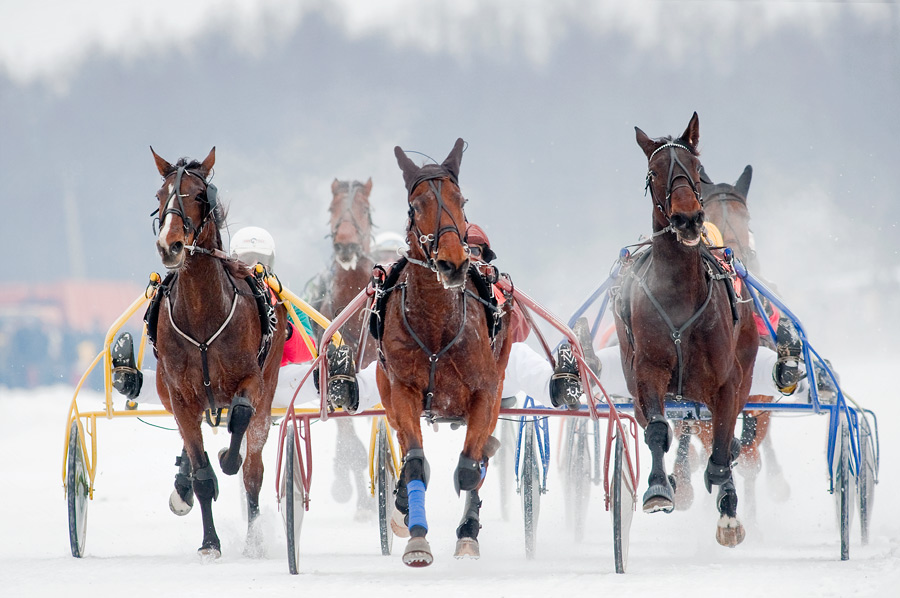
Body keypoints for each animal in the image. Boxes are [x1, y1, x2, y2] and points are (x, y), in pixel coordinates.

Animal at [150, 147, 286, 558]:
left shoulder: (251, 380)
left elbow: (240, 418)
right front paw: (209, 542)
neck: (202, 315)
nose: (170, 245)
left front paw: (228, 456)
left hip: (268, 387)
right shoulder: (179, 396)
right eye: (159, 196)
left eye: (199, 195)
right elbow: (201, 474)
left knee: (253, 464)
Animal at [375, 138, 512, 566]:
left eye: (460, 199)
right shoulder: (402, 389)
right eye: (415, 206)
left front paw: (467, 530)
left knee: (480, 453)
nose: (453, 261)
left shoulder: (485, 390)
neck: (437, 324)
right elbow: (416, 462)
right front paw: (416, 534)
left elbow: (469, 467)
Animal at [612, 113, 758, 547]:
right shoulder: (648, 370)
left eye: (694, 167)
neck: (678, 293)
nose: (688, 218)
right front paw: (660, 487)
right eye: (653, 172)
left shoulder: (727, 381)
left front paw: (727, 508)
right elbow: (659, 430)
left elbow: (723, 446)